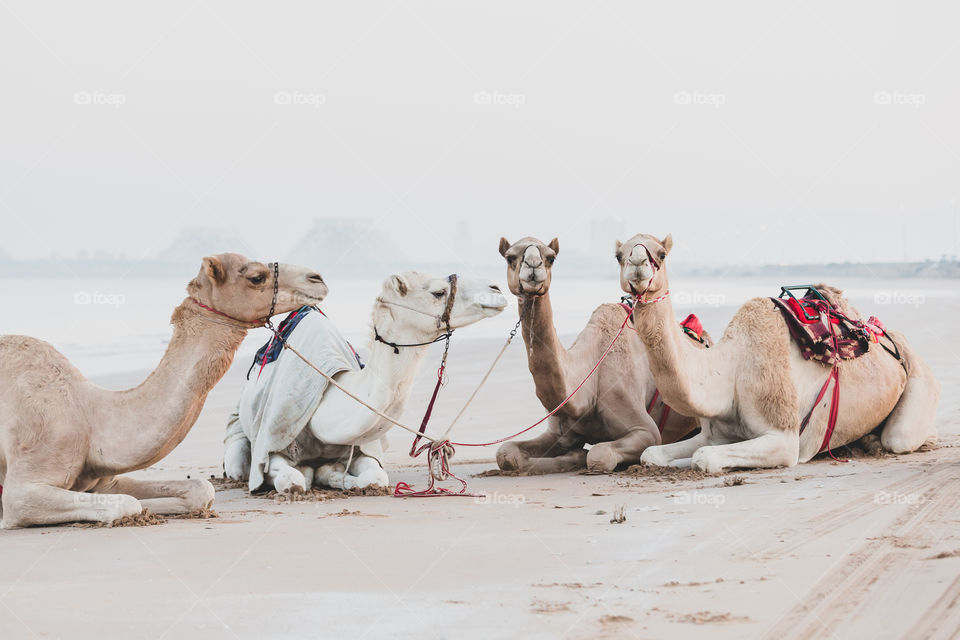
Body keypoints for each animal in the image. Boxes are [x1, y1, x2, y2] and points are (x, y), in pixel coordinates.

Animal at [0, 254, 329, 528]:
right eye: (256, 277)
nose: (318, 278)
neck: (90, 417)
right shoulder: (23, 487)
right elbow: (127, 504)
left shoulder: (103, 480)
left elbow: (200, 488)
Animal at [223, 271, 507, 493]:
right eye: (438, 292)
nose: (496, 289)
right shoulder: (272, 448)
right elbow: (292, 480)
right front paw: (309, 474)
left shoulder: (360, 449)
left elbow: (376, 477)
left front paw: (334, 475)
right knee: (237, 466)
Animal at [494, 237, 710, 475]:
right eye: (510, 257)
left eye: (551, 258)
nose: (533, 265)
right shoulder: (558, 433)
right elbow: (506, 452)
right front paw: (573, 455)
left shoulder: (646, 430)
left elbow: (599, 454)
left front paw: (580, 456)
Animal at [616, 233, 940, 472]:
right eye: (619, 255)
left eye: (661, 254)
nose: (637, 263)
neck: (731, 370)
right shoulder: (713, 433)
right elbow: (651, 454)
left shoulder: (783, 437)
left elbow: (704, 457)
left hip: (920, 384)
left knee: (899, 438)